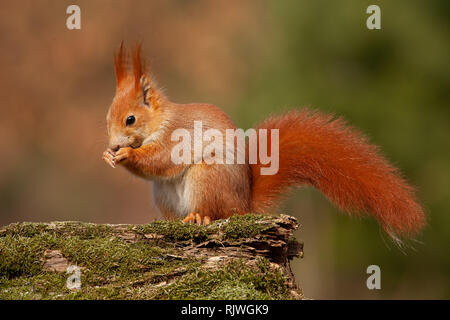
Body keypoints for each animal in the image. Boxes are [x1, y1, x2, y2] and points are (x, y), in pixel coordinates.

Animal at [103, 44, 426, 240]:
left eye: (130, 119)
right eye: (107, 118)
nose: (114, 144)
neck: (159, 121)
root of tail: (244, 205)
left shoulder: (176, 136)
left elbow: (159, 159)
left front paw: (126, 155)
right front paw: (108, 155)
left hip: (207, 177)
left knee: (217, 213)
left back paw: (199, 217)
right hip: (163, 194)